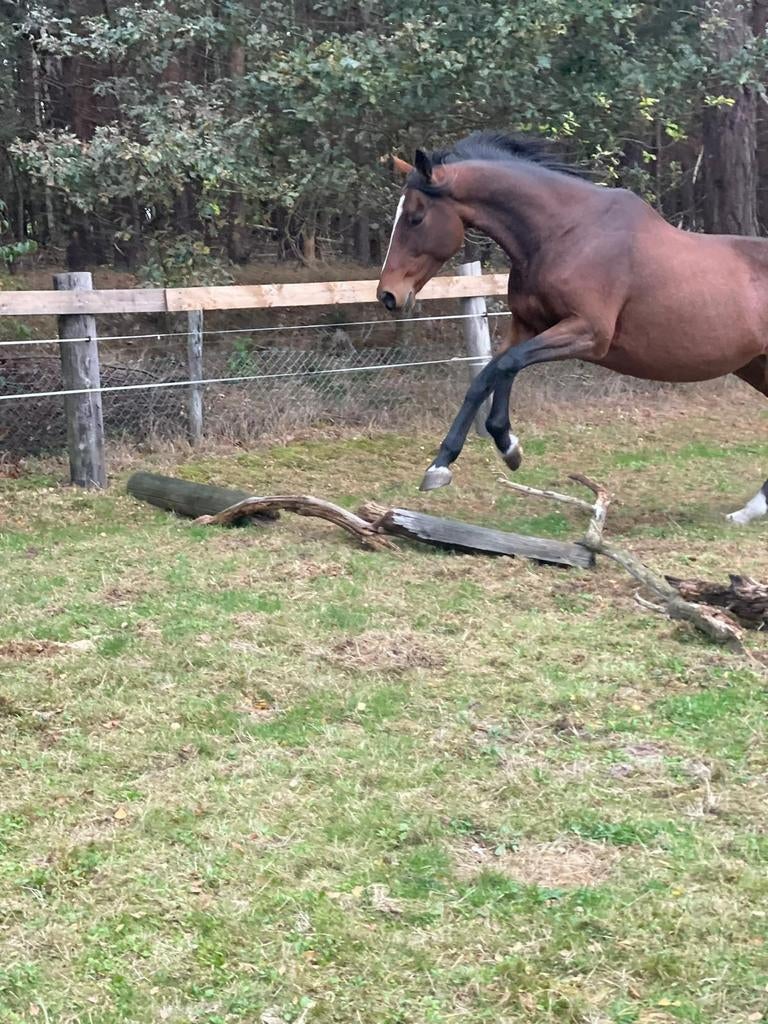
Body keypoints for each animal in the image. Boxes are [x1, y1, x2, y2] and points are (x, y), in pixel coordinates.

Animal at [376, 133, 768, 525]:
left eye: (415, 216)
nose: (388, 295)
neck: (565, 234)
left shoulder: (588, 334)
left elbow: (503, 367)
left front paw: (481, 454)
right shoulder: (527, 326)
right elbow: (488, 377)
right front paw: (490, 450)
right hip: (755, 366)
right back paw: (750, 510)